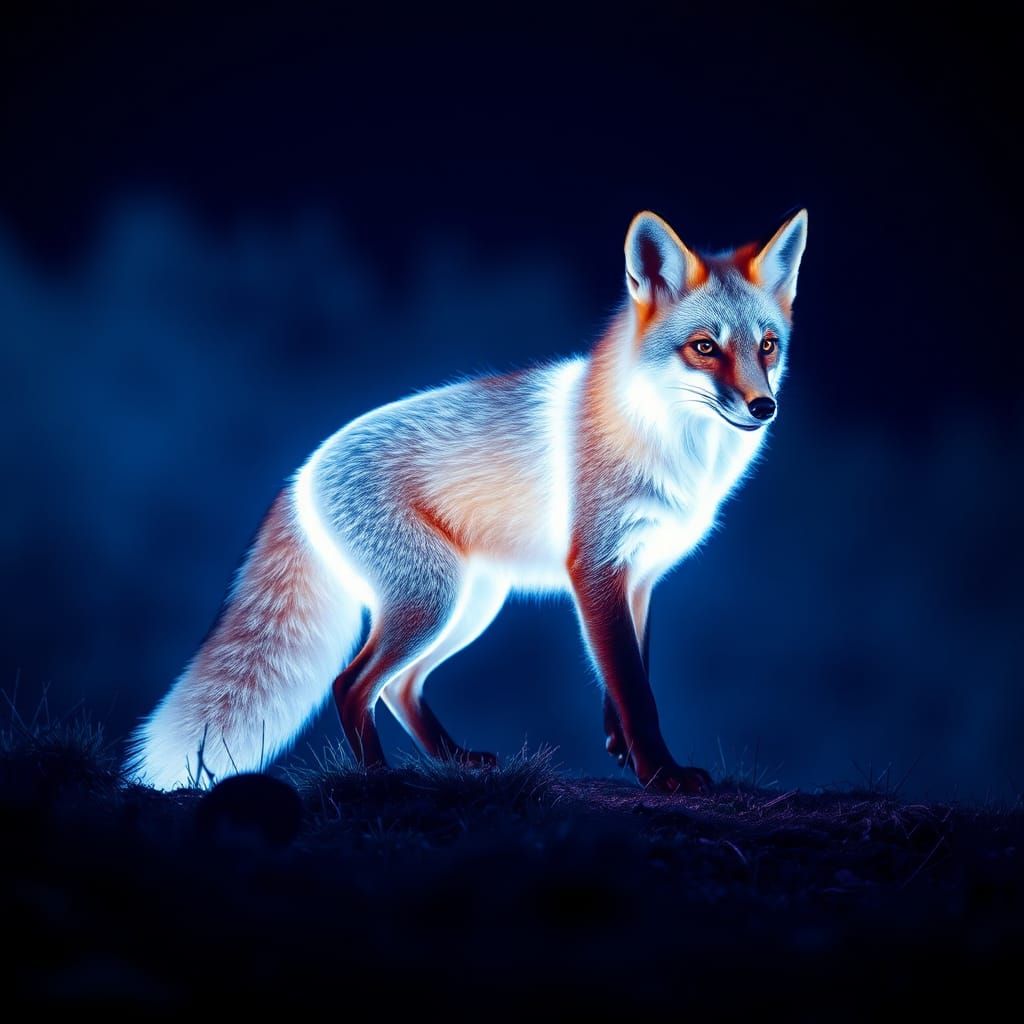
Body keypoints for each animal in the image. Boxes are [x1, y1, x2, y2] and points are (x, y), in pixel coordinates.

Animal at [128, 208, 808, 794]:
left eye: (768, 346)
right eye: (704, 347)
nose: (764, 407)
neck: (671, 448)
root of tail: (302, 470)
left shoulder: (641, 578)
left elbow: (629, 678)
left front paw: (623, 750)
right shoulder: (596, 569)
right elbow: (636, 692)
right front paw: (661, 773)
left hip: (471, 604)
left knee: (400, 688)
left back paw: (452, 761)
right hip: (433, 600)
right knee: (353, 684)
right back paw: (379, 777)